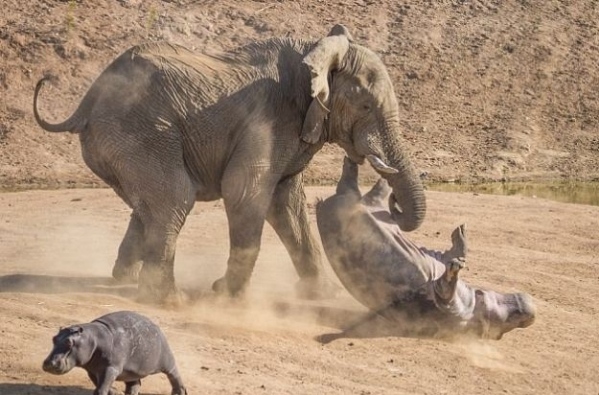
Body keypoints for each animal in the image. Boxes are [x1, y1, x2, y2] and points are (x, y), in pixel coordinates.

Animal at [32, 24, 426, 304]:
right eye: (366, 106)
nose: (394, 203)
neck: (315, 52)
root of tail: (87, 101)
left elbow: (287, 203)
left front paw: (322, 295)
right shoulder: (268, 120)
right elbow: (245, 192)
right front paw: (226, 295)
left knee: (150, 206)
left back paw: (122, 279)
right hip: (139, 133)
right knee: (174, 198)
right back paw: (168, 300)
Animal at [42, 312, 186, 395]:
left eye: (69, 343)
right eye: (54, 338)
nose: (49, 363)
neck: (93, 338)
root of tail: (156, 326)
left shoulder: (111, 368)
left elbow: (102, 386)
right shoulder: (92, 370)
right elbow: (98, 383)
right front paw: (115, 392)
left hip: (167, 360)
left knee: (174, 375)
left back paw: (179, 392)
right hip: (132, 372)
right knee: (135, 385)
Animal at [316, 158, 536, 340]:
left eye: (509, 322)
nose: (530, 313)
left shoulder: (448, 307)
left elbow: (444, 291)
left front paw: (454, 269)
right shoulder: (440, 262)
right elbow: (453, 254)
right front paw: (460, 237)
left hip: (354, 202)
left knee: (363, 188)